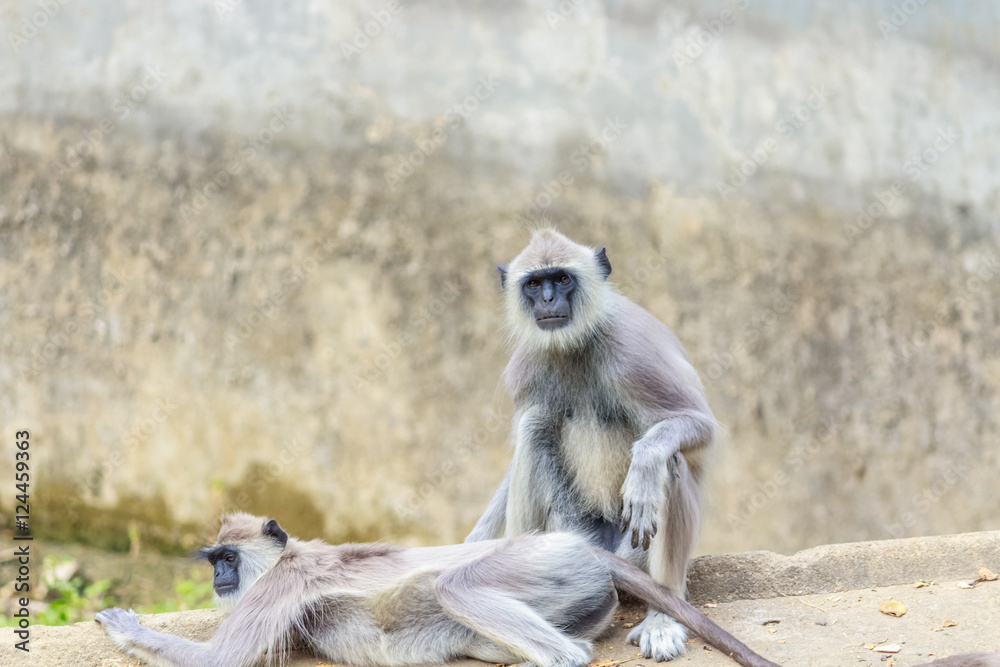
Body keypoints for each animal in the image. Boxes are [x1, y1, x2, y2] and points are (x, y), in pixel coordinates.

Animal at [466, 229, 718, 662]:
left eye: (563, 278)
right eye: (535, 284)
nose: (549, 300)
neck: (574, 343)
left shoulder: (633, 353)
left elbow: (700, 426)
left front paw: (643, 468)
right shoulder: (526, 368)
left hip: (631, 553)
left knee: (670, 461)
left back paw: (663, 615)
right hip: (573, 526)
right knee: (535, 425)